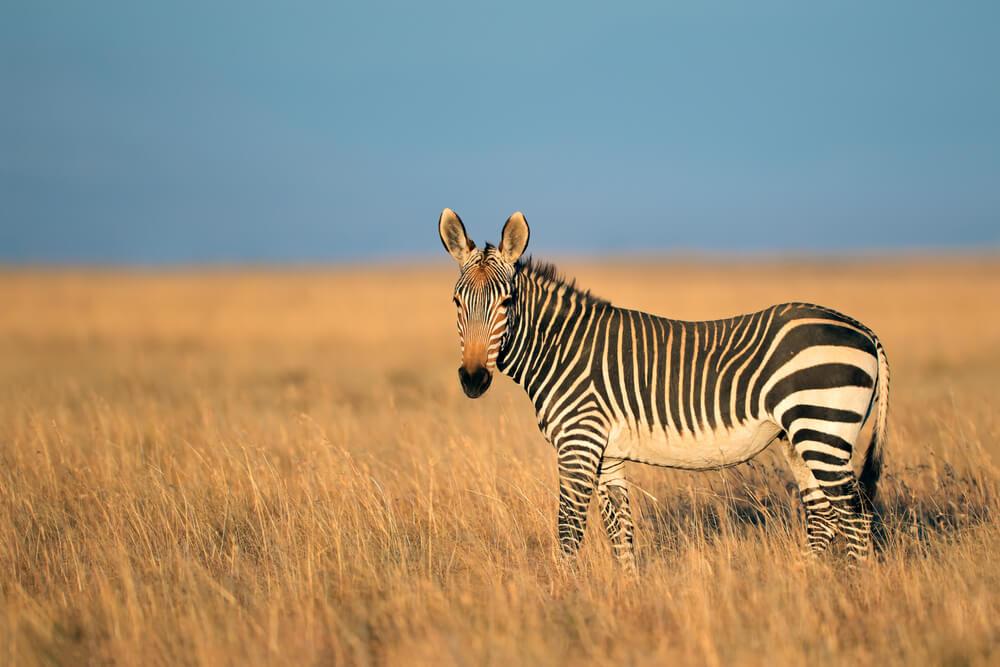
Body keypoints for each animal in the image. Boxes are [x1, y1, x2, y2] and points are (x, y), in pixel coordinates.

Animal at [439, 208, 889, 569]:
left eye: (507, 302)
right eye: (457, 302)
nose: (474, 379)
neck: (560, 349)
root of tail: (863, 329)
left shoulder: (578, 444)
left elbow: (569, 530)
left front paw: (562, 596)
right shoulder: (608, 455)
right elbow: (620, 531)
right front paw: (626, 596)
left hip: (822, 428)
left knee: (854, 513)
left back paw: (854, 587)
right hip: (798, 437)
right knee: (824, 513)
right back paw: (809, 581)